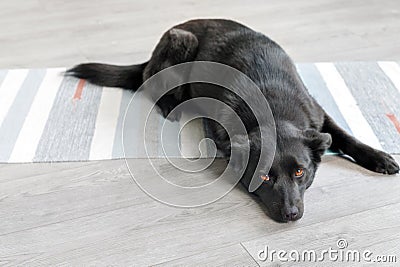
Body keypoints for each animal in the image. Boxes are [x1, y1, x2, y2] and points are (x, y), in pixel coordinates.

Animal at [67, 18, 398, 223]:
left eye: (300, 173)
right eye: (264, 177)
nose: (291, 215)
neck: (273, 111)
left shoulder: (317, 113)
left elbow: (344, 135)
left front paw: (379, 157)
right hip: (181, 43)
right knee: (153, 84)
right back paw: (173, 105)